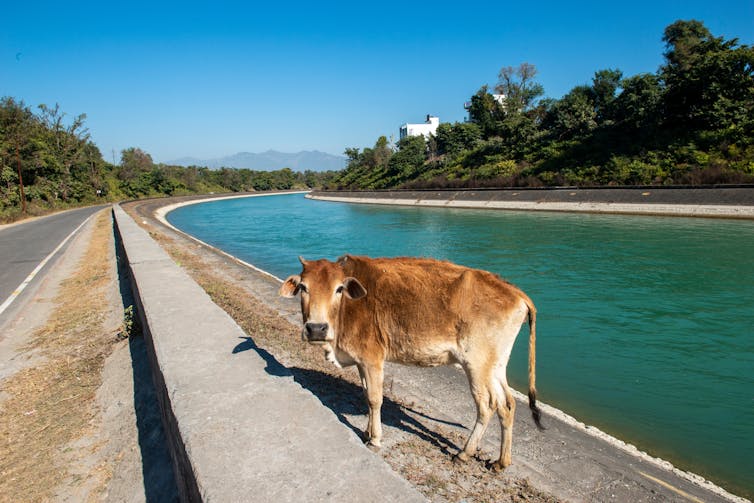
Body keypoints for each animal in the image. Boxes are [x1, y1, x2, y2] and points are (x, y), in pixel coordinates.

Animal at [279, 254, 543, 471]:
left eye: (338, 289)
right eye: (303, 287)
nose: (316, 328)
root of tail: (516, 293)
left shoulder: (372, 358)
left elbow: (375, 399)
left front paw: (375, 439)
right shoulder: (361, 361)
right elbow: (365, 395)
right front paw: (366, 431)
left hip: (476, 365)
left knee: (487, 406)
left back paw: (464, 453)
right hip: (495, 365)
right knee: (507, 404)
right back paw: (501, 462)